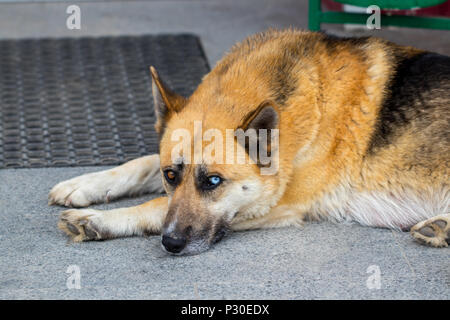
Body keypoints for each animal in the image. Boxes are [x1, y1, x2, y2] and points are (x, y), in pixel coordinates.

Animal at [48, 30, 450, 255]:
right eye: (171, 176)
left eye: (213, 182)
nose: (171, 245)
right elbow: (141, 164)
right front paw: (84, 184)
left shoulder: (278, 206)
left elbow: (154, 207)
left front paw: (99, 220)